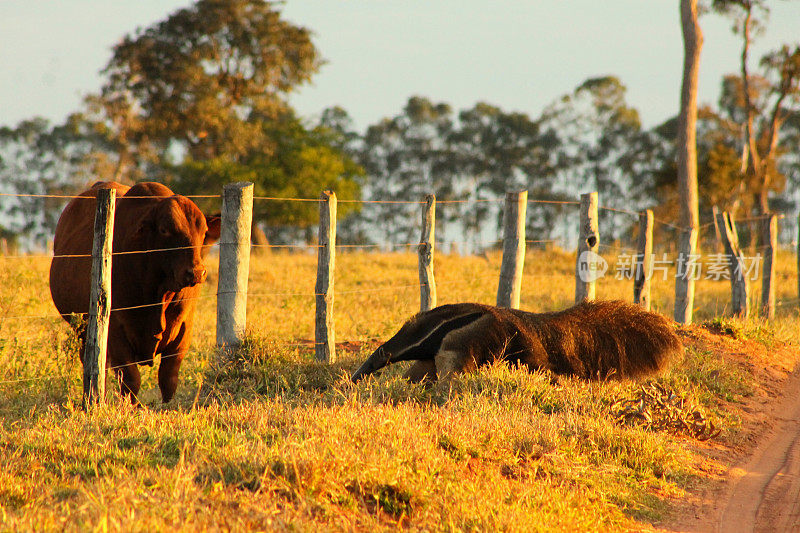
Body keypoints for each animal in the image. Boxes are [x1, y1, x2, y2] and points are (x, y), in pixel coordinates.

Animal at [50, 181, 220, 402]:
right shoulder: (116, 332)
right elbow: (131, 380)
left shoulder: (183, 329)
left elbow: (169, 379)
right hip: (83, 330)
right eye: (164, 230)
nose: (196, 272)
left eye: (203, 231)